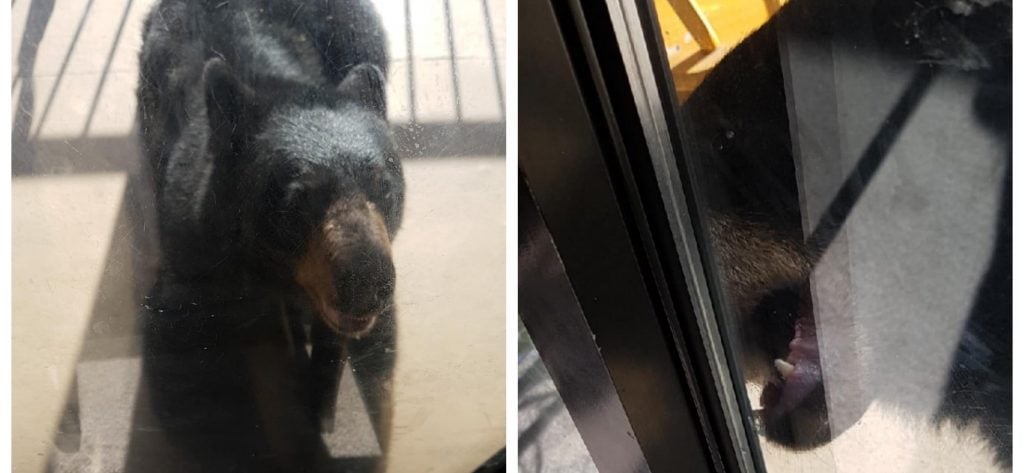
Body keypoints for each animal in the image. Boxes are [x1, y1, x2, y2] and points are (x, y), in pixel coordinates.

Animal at [135, 1, 402, 471]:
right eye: (297, 200)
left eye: (384, 187)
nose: (367, 281)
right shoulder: (195, 261)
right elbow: (190, 379)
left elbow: (373, 362)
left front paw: (326, 413)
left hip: (359, 31)